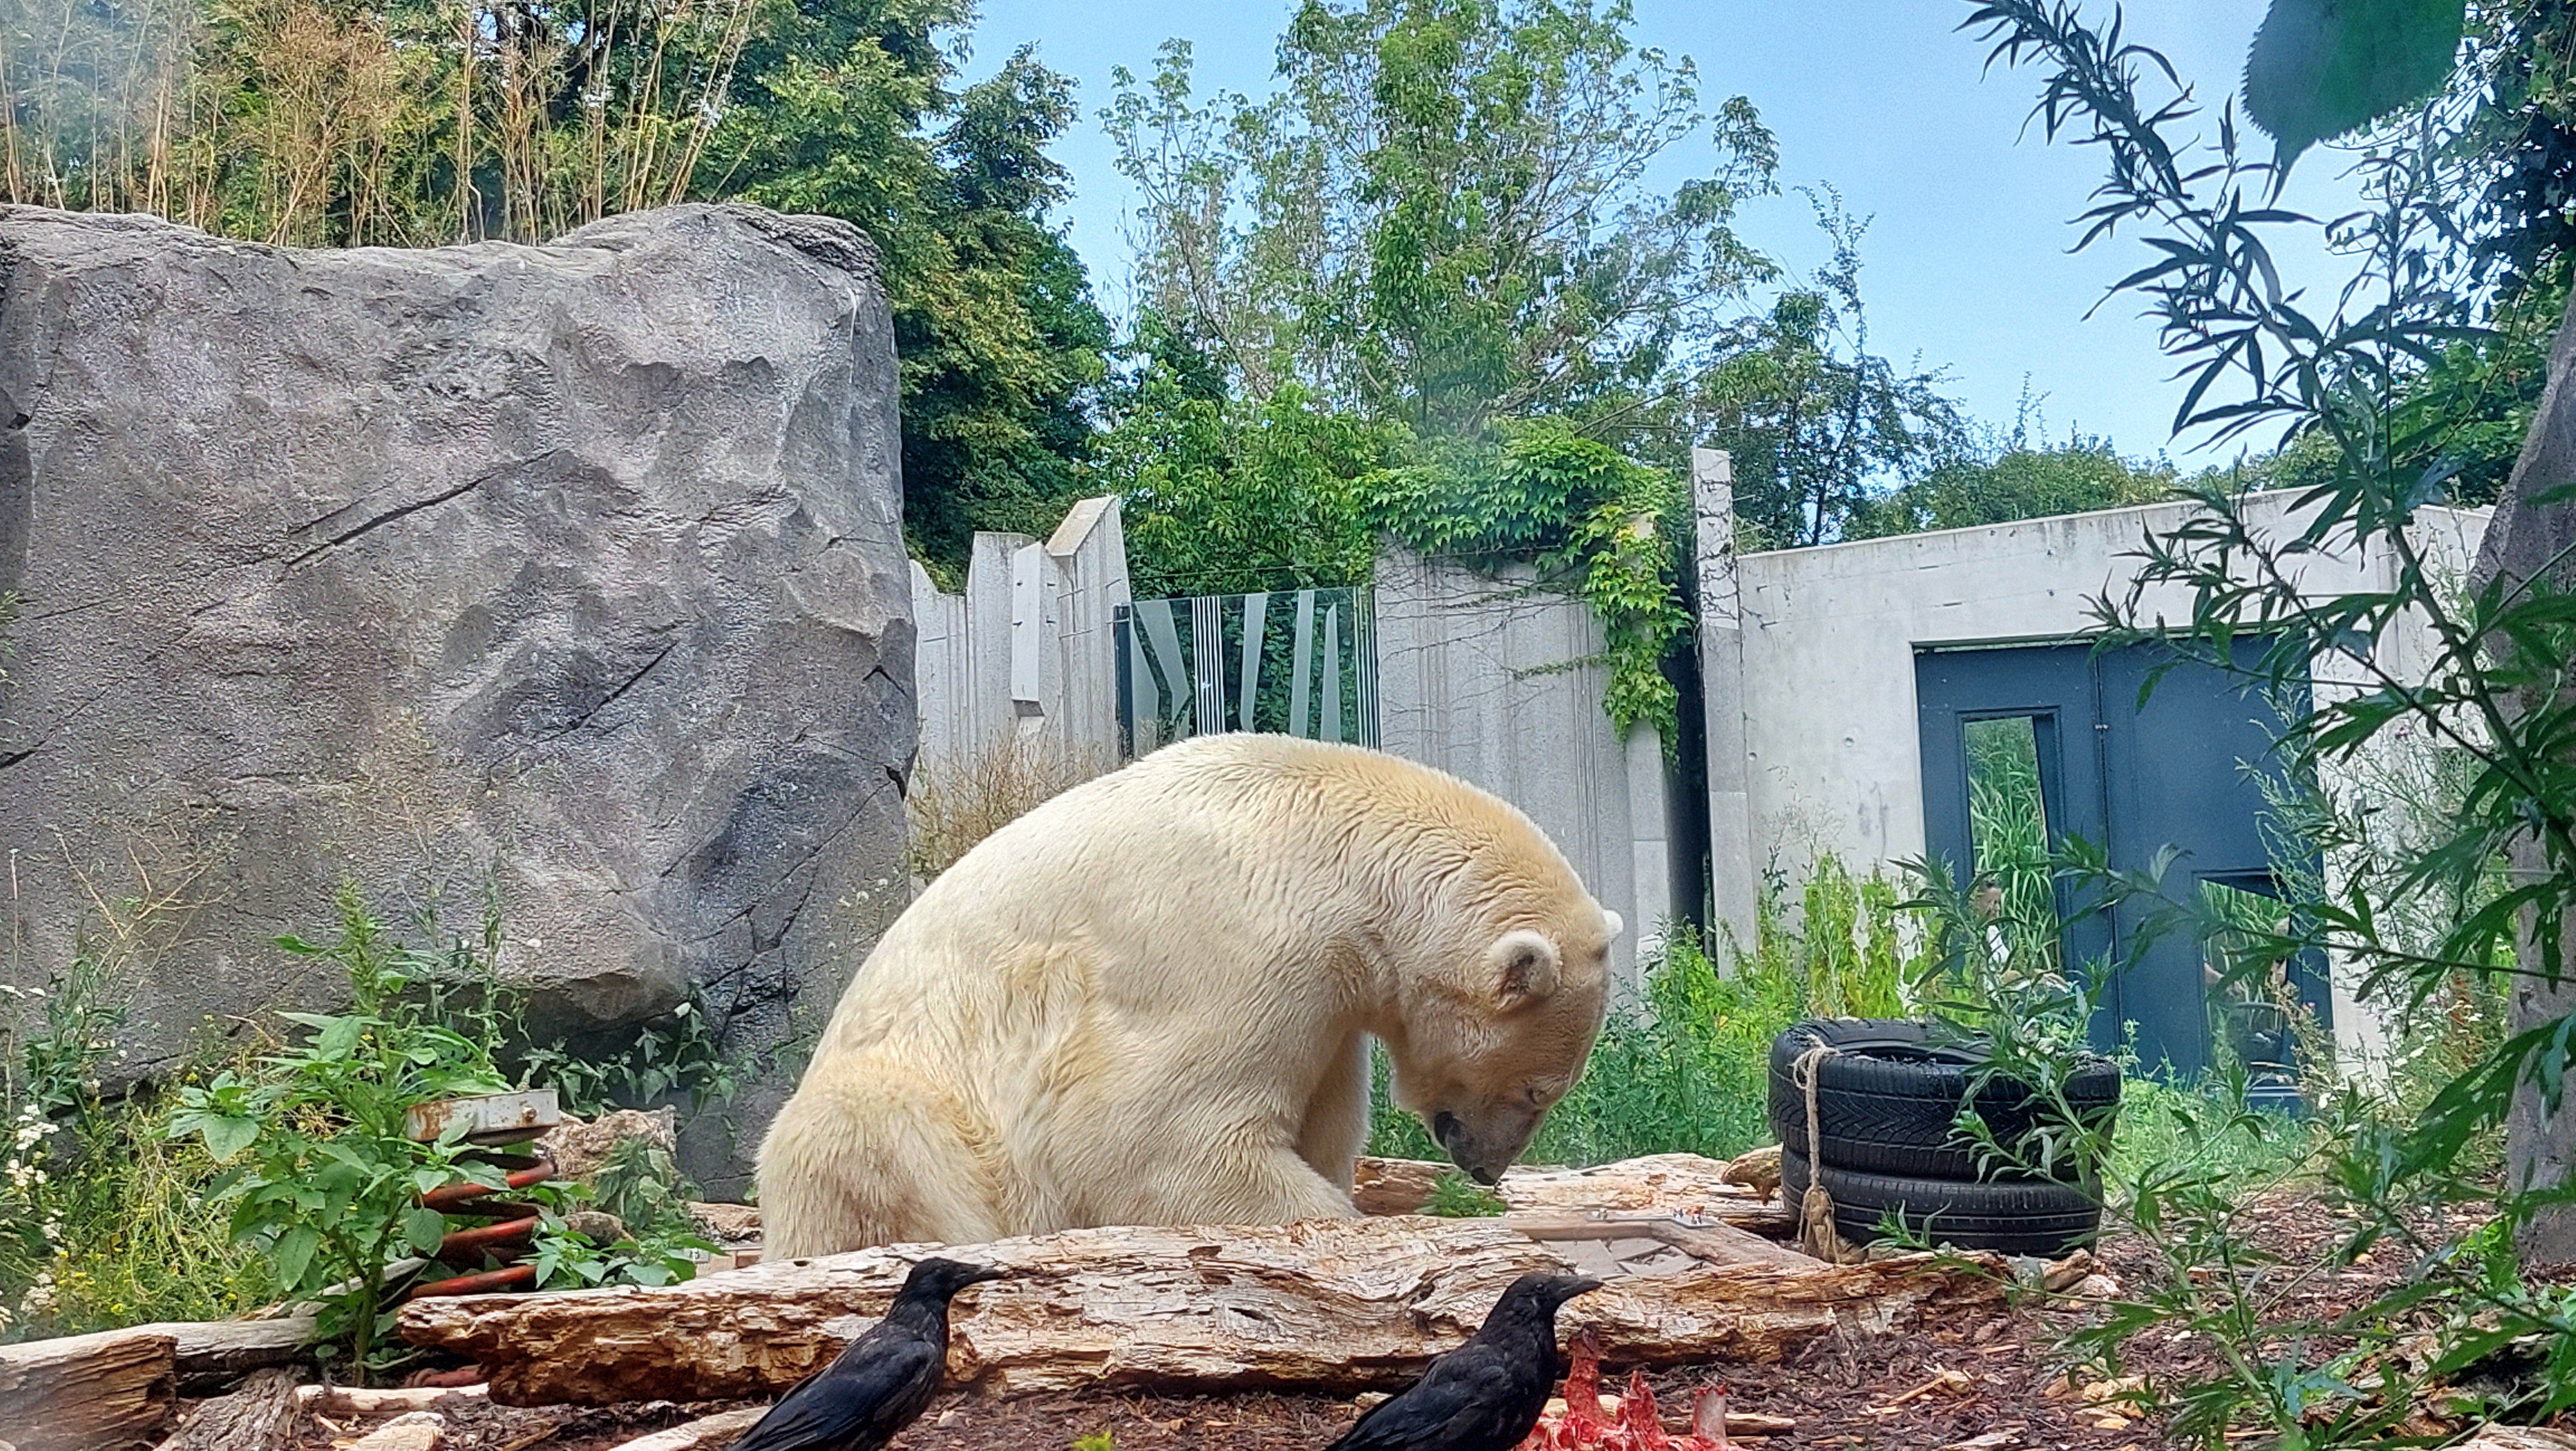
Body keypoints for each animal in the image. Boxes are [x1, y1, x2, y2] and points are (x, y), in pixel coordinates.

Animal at [752, 732, 1617, 1252]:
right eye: (1541, 1088)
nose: (1487, 1167)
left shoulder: (1335, 999)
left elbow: (1324, 1118)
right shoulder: (1235, 947)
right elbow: (1147, 1134)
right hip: (910, 1105)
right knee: (865, 1129)